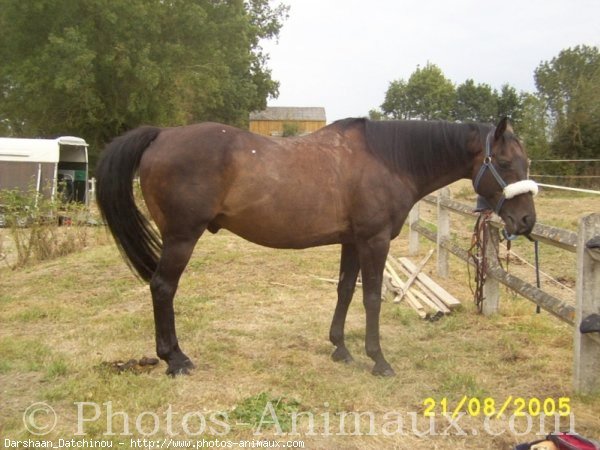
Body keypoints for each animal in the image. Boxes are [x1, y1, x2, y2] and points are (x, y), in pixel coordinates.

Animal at [96, 117, 536, 376]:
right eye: (506, 163)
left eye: (527, 162)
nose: (527, 222)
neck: (389, 159)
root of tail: (162, 134)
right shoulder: (374, 241)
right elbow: (371, 298)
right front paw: (378, 359)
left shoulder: (352, 242)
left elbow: (344, 290)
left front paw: (340, 347)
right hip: (181, 238)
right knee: (162, 288)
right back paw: (176, 359)